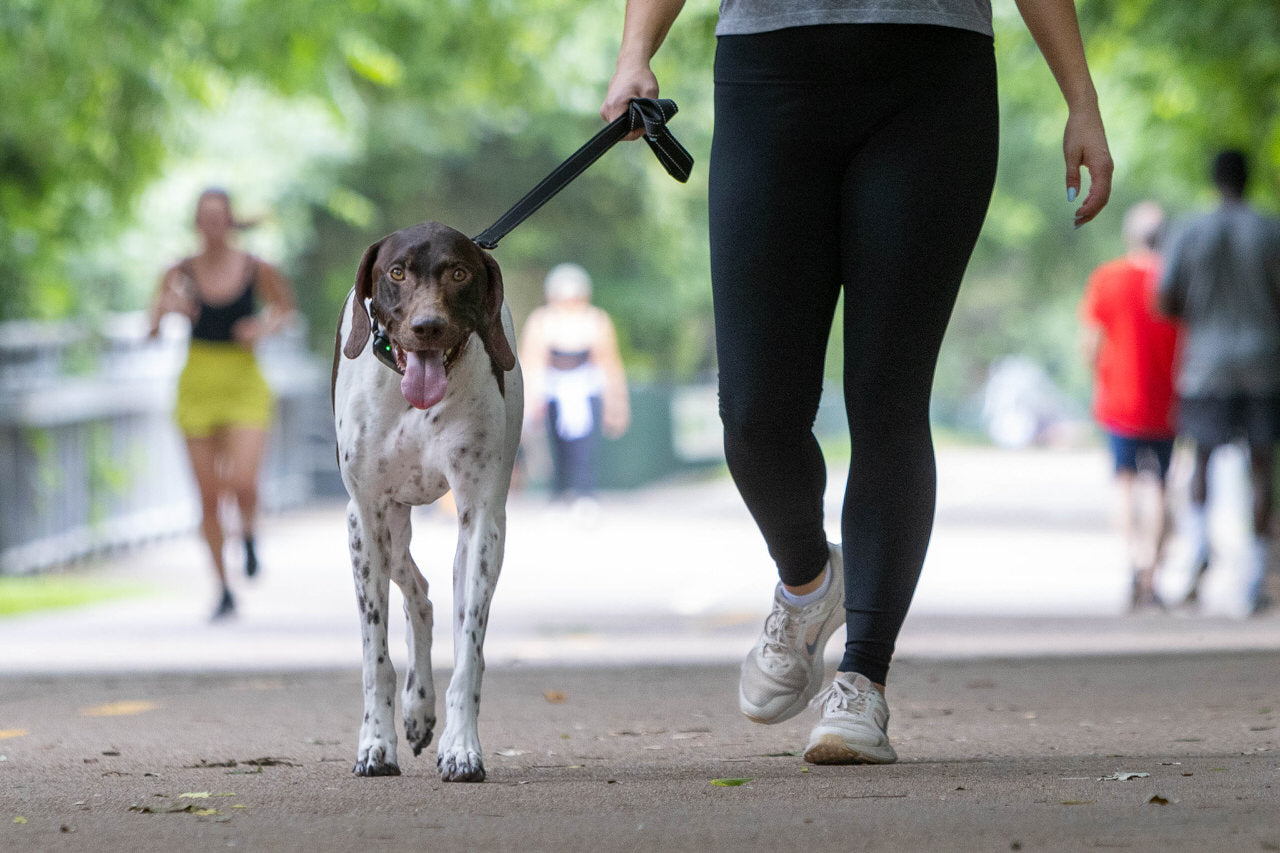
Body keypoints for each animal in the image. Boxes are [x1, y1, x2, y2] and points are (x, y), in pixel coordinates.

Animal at [337, 219, 527, 778]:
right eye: (397, 272)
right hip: (387, 530)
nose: (427, 326)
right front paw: (375, 743)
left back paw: (423, 710)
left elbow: (469, 653)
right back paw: (415, 707)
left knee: (427, 597)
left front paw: (461, 746)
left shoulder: (481, 517)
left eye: (459, 273)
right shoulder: (364, 518)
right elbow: (375, 658)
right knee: (416, 594)